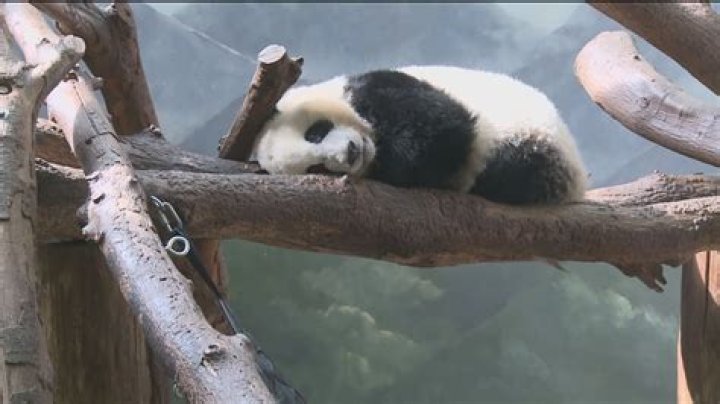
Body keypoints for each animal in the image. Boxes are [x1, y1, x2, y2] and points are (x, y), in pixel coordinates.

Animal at [251, 65, 587, 205]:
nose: (349, 153)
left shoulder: (381, 87)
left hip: (531, 135)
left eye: (316, 133)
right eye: (317, 169)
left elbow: (445, 126)